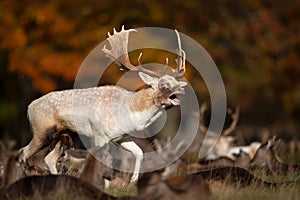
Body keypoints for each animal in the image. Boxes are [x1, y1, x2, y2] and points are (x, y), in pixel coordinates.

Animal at [18, 25, 186, 184]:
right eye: (163, 84)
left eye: (177, 83)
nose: (180, 91)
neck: (129, 112)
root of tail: (29, 107)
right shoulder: (100, 135)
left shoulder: (122, 137)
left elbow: (139, 152)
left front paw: (132, 181)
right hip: (42, 130)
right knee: (23, 152)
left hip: (64, 133)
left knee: (49, 158)